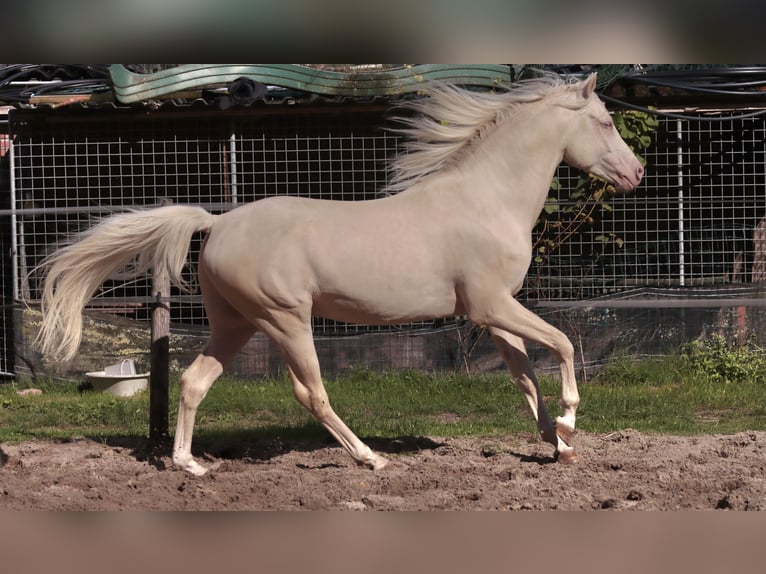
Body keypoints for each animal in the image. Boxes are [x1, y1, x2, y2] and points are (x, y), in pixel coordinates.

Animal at [39, 73, 644, 476]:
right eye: (604, 122)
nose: (636, 173)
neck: (485, 201)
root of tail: (216, 222)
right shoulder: (490, 305)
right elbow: (562, 344)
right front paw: (569, 423)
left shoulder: (494, 314)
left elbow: (524, 378)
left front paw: (560, 445)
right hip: (285, 319)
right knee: (311, 393)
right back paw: (369, 458)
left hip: (235, 323)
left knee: (193, 382)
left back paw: (190, 465)